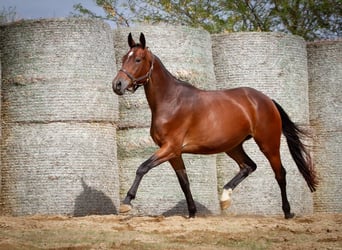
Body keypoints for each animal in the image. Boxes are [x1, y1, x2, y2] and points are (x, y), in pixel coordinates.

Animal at [113, 32, 318, 219]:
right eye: (123, 58)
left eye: (138, 59)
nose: (117, 85)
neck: (171, 101)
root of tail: (267, 100)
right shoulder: (174, 153)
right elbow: (184, 182)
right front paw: (192, 213)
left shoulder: (170, 147)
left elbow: (143, 167)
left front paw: (126, 202)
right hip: (233, 146)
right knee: (248, 166)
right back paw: (225, 198)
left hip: (268, 144)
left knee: (280, 173)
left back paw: (287, 212)